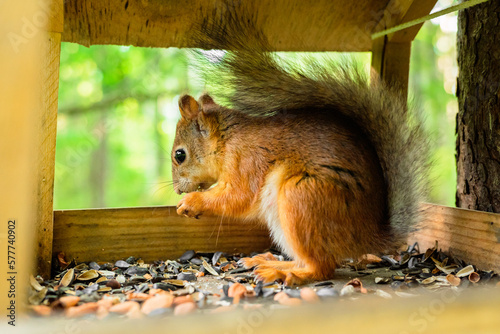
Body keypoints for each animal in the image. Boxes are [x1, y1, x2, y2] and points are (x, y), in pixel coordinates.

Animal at [170, 8, 428, 284]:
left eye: (179, 155)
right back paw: (267, 261)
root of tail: (368, 235)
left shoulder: (247, 160)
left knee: (322, 267)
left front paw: (192, 202)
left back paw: (283, 272)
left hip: (301, 196)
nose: (176, 190)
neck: (227, 141)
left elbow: (238, 196)